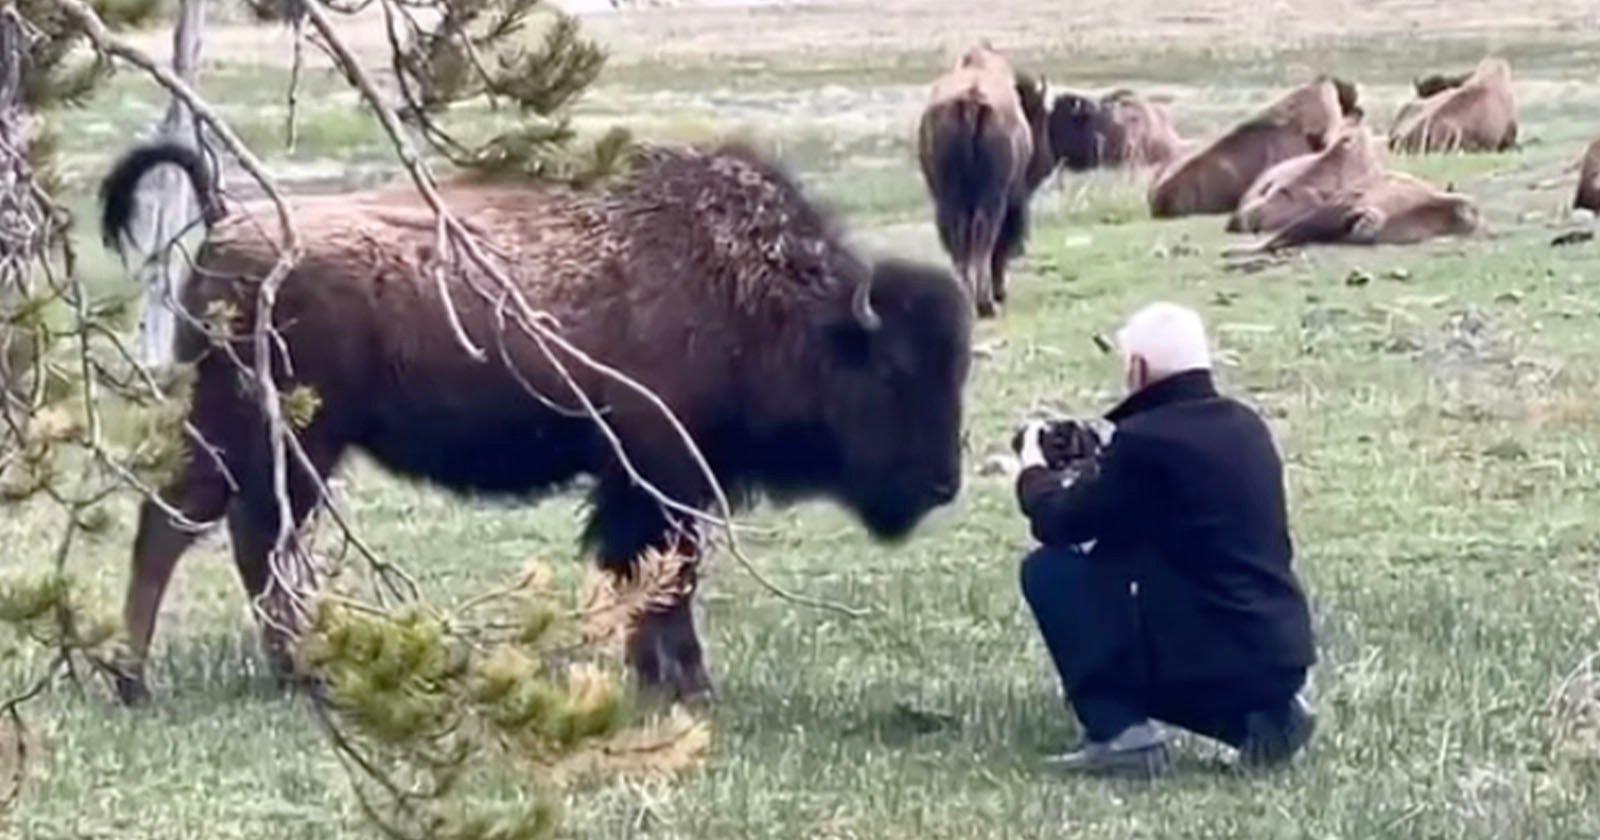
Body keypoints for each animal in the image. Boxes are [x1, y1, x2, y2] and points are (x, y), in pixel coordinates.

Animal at [103, 140, 972, 704]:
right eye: (893, 373)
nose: (943, 484)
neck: (757, 294)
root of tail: (226, 216)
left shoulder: (641, 483)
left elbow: (645, 571)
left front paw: (659, 679)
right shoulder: (661, 474)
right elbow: (668, 572)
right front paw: (689, 685)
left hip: (260, 439)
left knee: (213, 532)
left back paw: (196, 676)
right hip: (279, 436)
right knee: (217, 533)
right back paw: (197, 679)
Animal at [921, 47, 1056, 320]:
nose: (1047, 164)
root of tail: (971, 101)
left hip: (949, 197)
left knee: (959, 236)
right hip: (994, 199)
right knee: (985, 236)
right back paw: (986, 304)